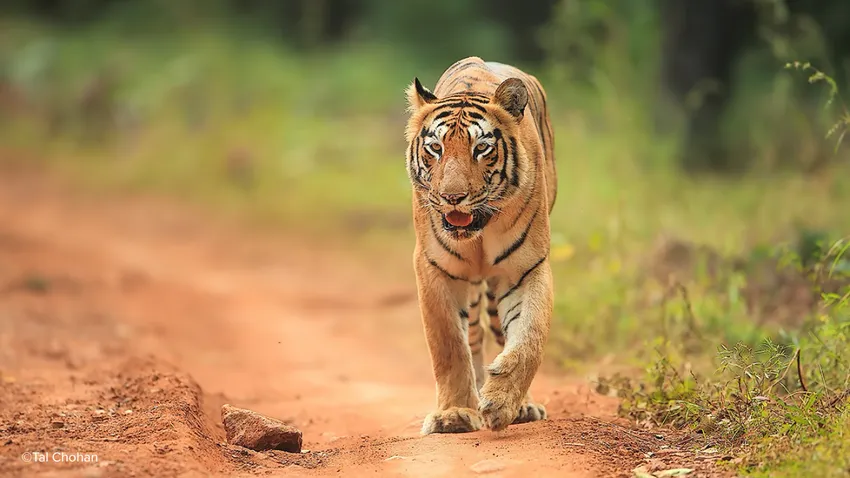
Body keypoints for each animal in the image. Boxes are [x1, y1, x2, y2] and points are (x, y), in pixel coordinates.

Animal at [403, 56, 557, 434]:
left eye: (481, 148)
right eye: (436, 148)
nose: (452, 197)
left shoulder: (526, 268)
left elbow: (529, 336)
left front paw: (502, 402)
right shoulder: (435, 268)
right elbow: (449, 346)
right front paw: (454, 414)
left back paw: (522, 406)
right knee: (472, 335)